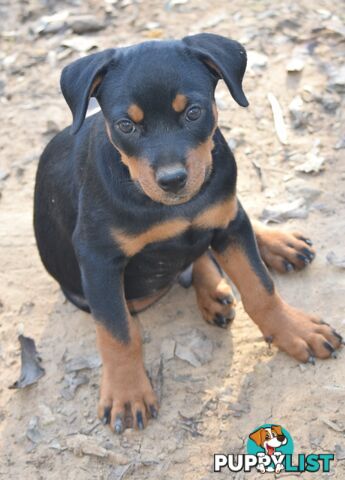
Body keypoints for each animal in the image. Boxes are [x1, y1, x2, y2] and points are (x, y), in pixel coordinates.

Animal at [33, 32, 342, 432]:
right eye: (126, 125)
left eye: (193, 112)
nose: (172, 180)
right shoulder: (98, 259)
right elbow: (118, 333)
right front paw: (126, 394)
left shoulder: (228, 224)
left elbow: (261, 288)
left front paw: (296, 330)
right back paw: (214, 288)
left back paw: (272, 248)